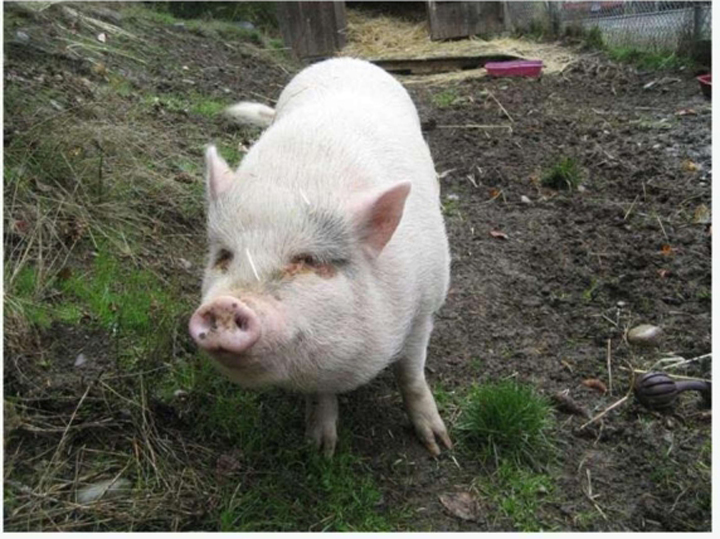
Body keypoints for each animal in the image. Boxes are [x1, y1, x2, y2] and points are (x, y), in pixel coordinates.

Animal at [189, 58, 451, 457]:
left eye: (309, 260)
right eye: (224, 256)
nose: (226, 304)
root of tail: (344, 59)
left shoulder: (426, 304)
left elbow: (410, 371)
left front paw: (438, 445)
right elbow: (321, 389)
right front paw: (320, 450)